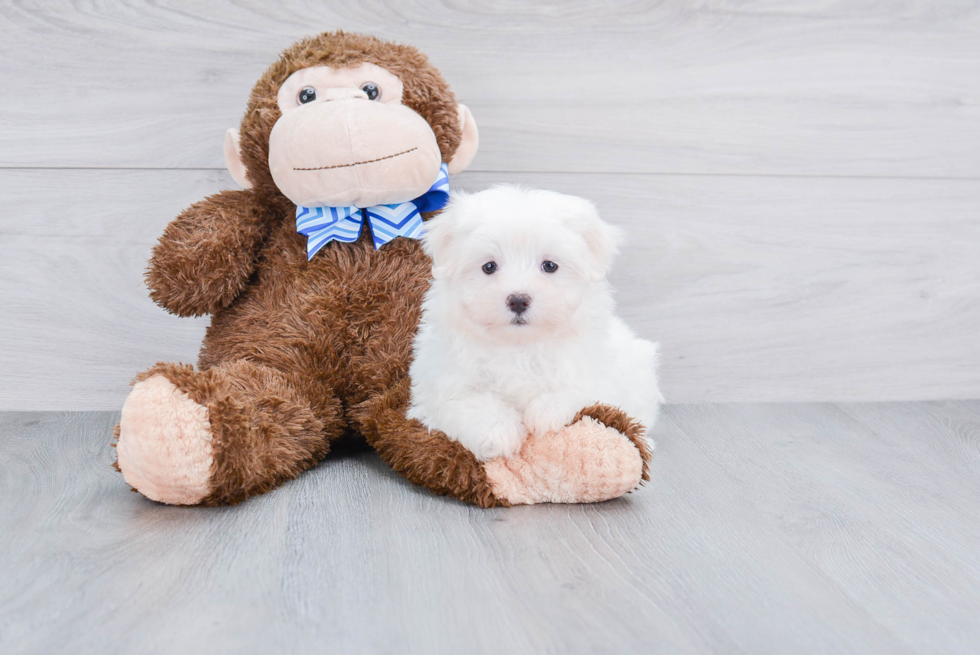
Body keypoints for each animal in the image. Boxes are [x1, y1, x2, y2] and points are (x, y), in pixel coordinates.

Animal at [406, 184, 668, 462]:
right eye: (489, 267)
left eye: (550, 266)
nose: (518, 300)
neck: (519, 346)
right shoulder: (443, 384)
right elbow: (472, 402)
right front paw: (498, 433)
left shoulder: (596, 372)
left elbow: (579, 389)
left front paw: (546, 413)